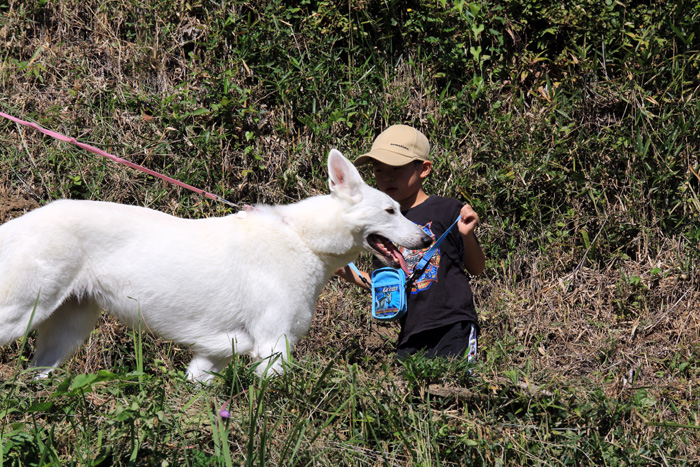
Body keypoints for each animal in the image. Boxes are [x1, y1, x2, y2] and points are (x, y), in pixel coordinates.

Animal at [0, 152, 430, 382]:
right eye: (390, 211)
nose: (427, 240)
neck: (303, 239)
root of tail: (17, 223)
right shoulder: (273, 348)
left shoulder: (212, 358)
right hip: (19, 314)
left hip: (66, 332)